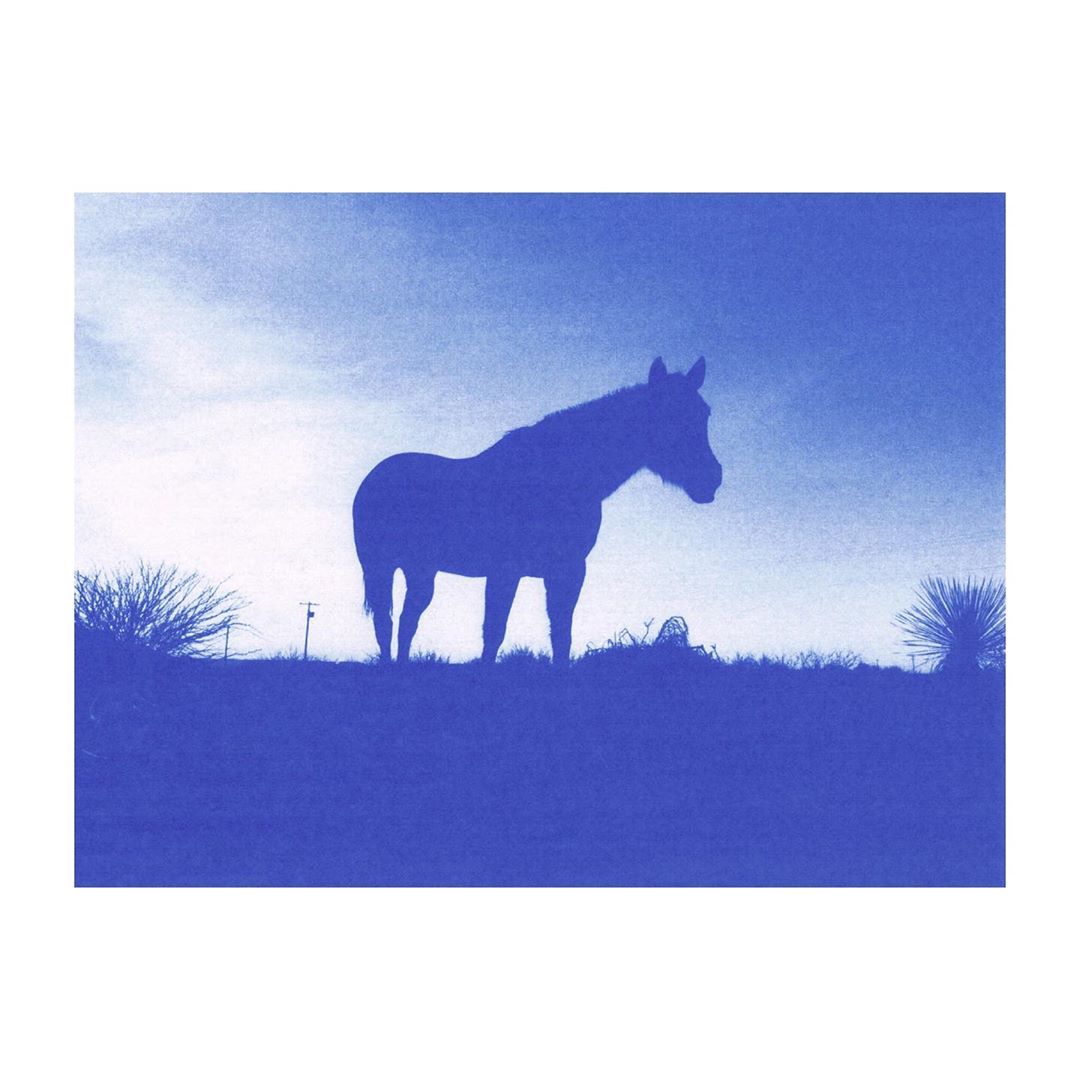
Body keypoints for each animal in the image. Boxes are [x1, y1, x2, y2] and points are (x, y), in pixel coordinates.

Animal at [352, 356, 723, 663]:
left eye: (704, 414)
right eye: (667, 416)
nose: (711, 478)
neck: (560, 476)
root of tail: (373, 478)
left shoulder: (568, 571)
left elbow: (561, 637)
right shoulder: (505, 571)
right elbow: (494, 634)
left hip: (421, 571)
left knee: (406, 622)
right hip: (381, 568)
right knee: (386, 623)